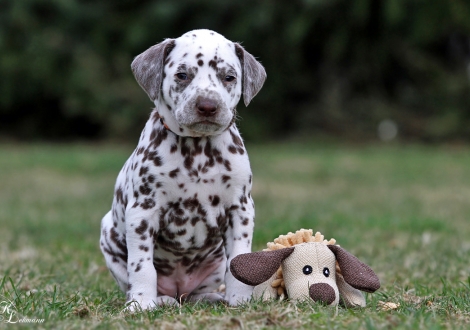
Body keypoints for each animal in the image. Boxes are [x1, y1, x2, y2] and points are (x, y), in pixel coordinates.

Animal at [99, 28, 266, 310]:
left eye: (229, 77)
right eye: (182, 75)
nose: (208, 106)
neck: (197, 151)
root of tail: (179, 290)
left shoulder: (240, 209)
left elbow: (239, 261)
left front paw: (240, 300)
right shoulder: (142, 211)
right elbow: (142, 266)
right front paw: (141, 304)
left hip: (215, 262)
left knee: (199, 292)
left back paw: (213, 297)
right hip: (108, 235)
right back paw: (159, 299)